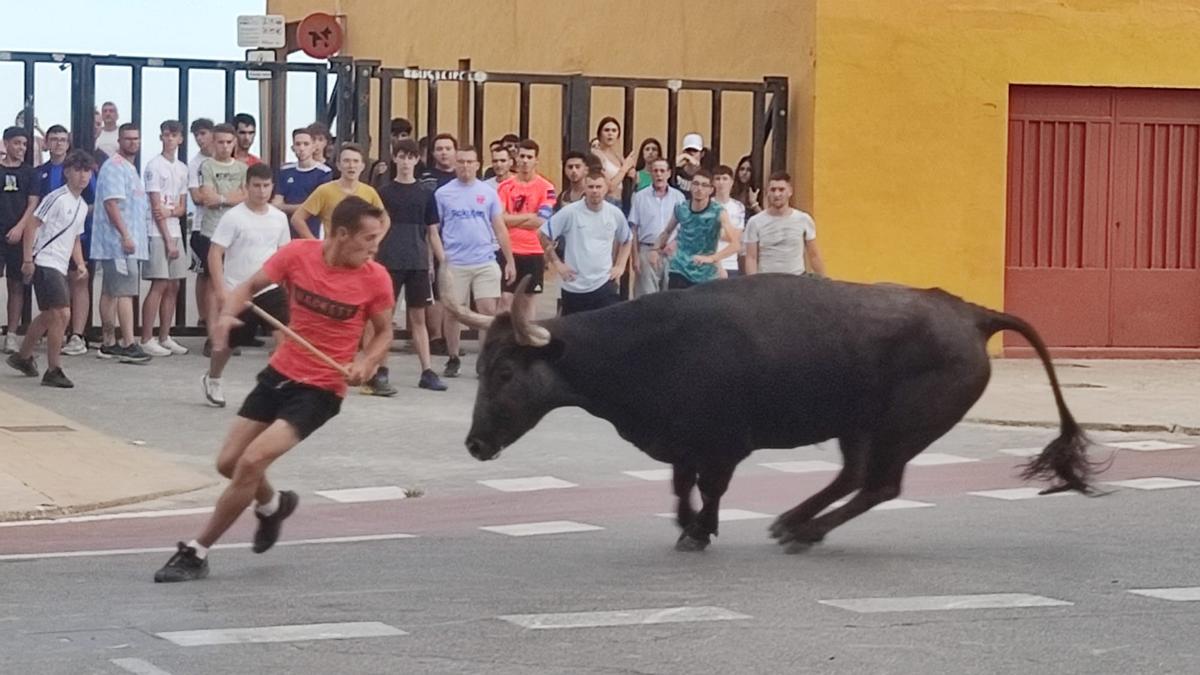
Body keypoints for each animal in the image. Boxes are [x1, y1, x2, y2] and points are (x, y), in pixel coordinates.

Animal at [441, 270, 1099, 550]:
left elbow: (709, 487)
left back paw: (805, 531)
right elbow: (681, 485)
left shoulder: (723, 444)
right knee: (856, 477)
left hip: (904, 426)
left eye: (504, 373)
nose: (474, 444)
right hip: (859, 425)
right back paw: (793, 522)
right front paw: (689, 526)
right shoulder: (683, 441)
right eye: (479, 368)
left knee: (879, 484)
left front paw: (699, 532)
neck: (651, 345)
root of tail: (970, 314)